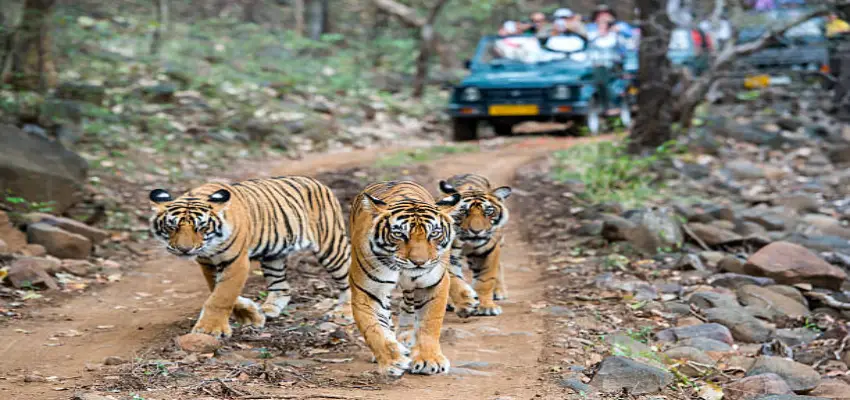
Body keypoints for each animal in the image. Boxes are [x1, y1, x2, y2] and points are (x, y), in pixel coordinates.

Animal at [149, 177, 352, 336]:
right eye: (172, 226)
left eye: (201, 227)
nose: (184, 249)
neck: (210, 247)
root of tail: (319, 183)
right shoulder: (208, 264)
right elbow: (218, 291)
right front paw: (252, 315)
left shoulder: (236, 262)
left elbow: (222, 295)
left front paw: (210, 329)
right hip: (273, 256)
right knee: (282, 287)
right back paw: (269, 309)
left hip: (331, 246)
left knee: (347, 277)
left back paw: (345, 312)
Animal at [348, 181, 460, 378]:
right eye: (399, 234)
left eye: (434, 233)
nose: (419, 262)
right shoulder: (367, 291)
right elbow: (374, 329)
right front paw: (392, 361)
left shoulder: (434, 284)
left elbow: (430, 323)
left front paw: (429, 360)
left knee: (407, 304)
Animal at [438, 173, 510, 318]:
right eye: (463, 212)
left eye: (488, 212)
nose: (476, 231)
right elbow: (453, 280)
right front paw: (466, 303)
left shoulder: (489, 251)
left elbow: (486, 279)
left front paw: (487, 307)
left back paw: (499, 292)